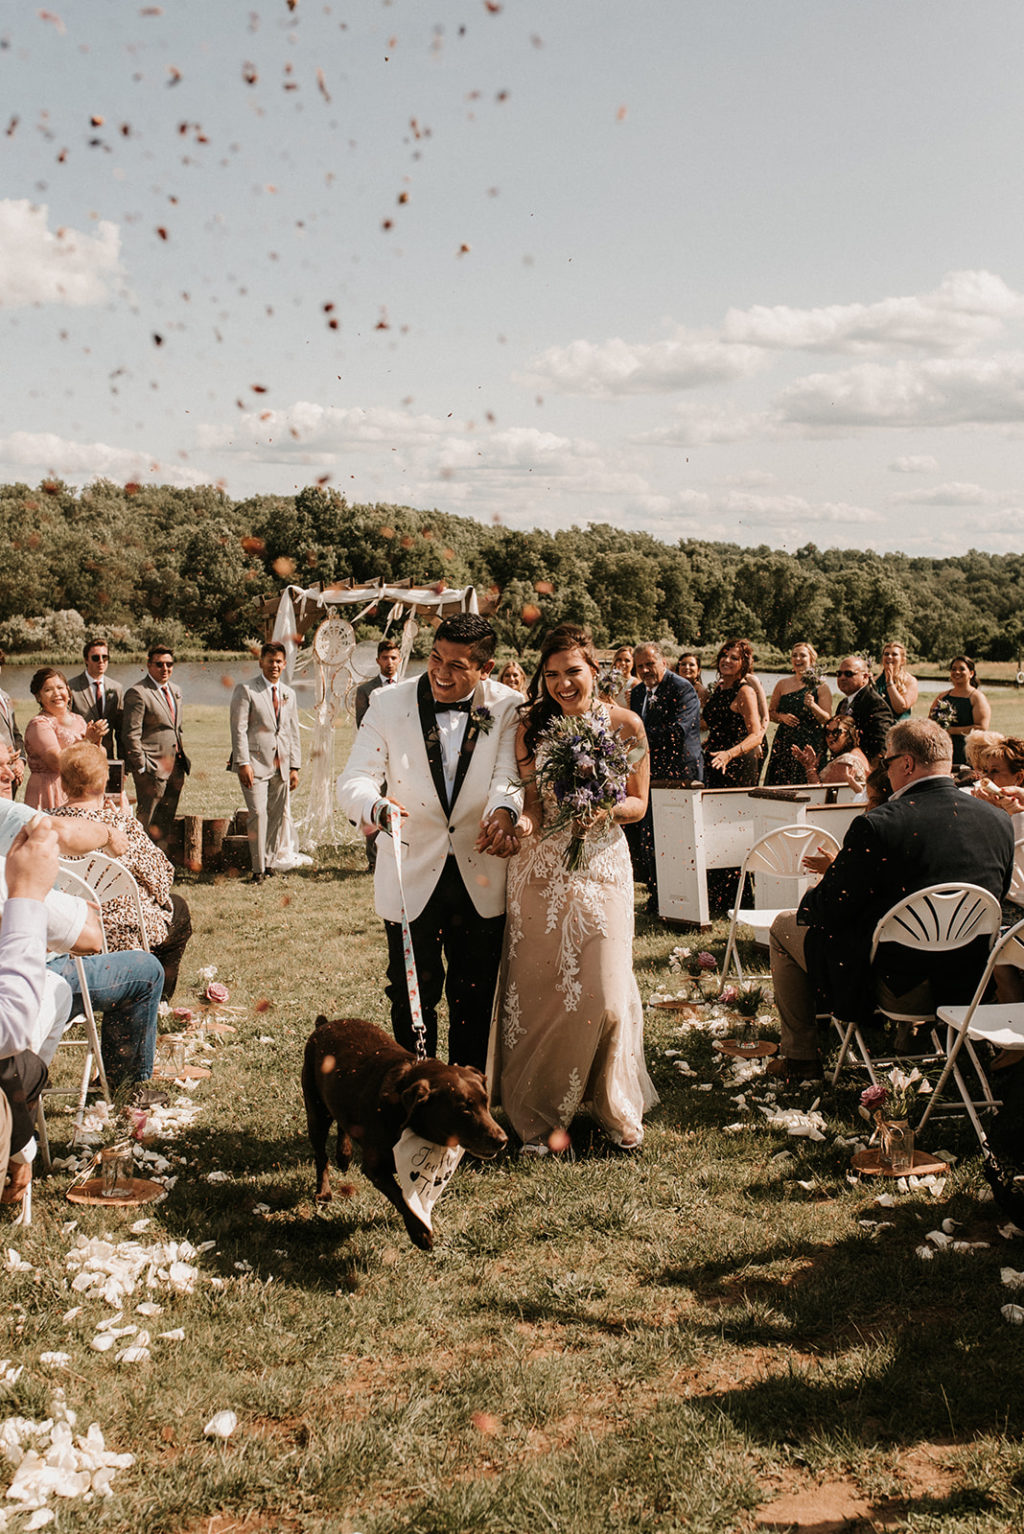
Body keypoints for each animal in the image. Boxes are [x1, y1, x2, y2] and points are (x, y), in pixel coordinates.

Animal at [300, 1018, 508, 1245]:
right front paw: (420, 1233)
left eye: (486, 1101)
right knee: (321, 1156)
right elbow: (401, 1197)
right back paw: (323, 1192)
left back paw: (344, 1155)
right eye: (464, 1109)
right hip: (316, 1112)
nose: (502, 1139)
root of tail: (325, 1024)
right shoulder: (375, 1168)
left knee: (342, 1123)